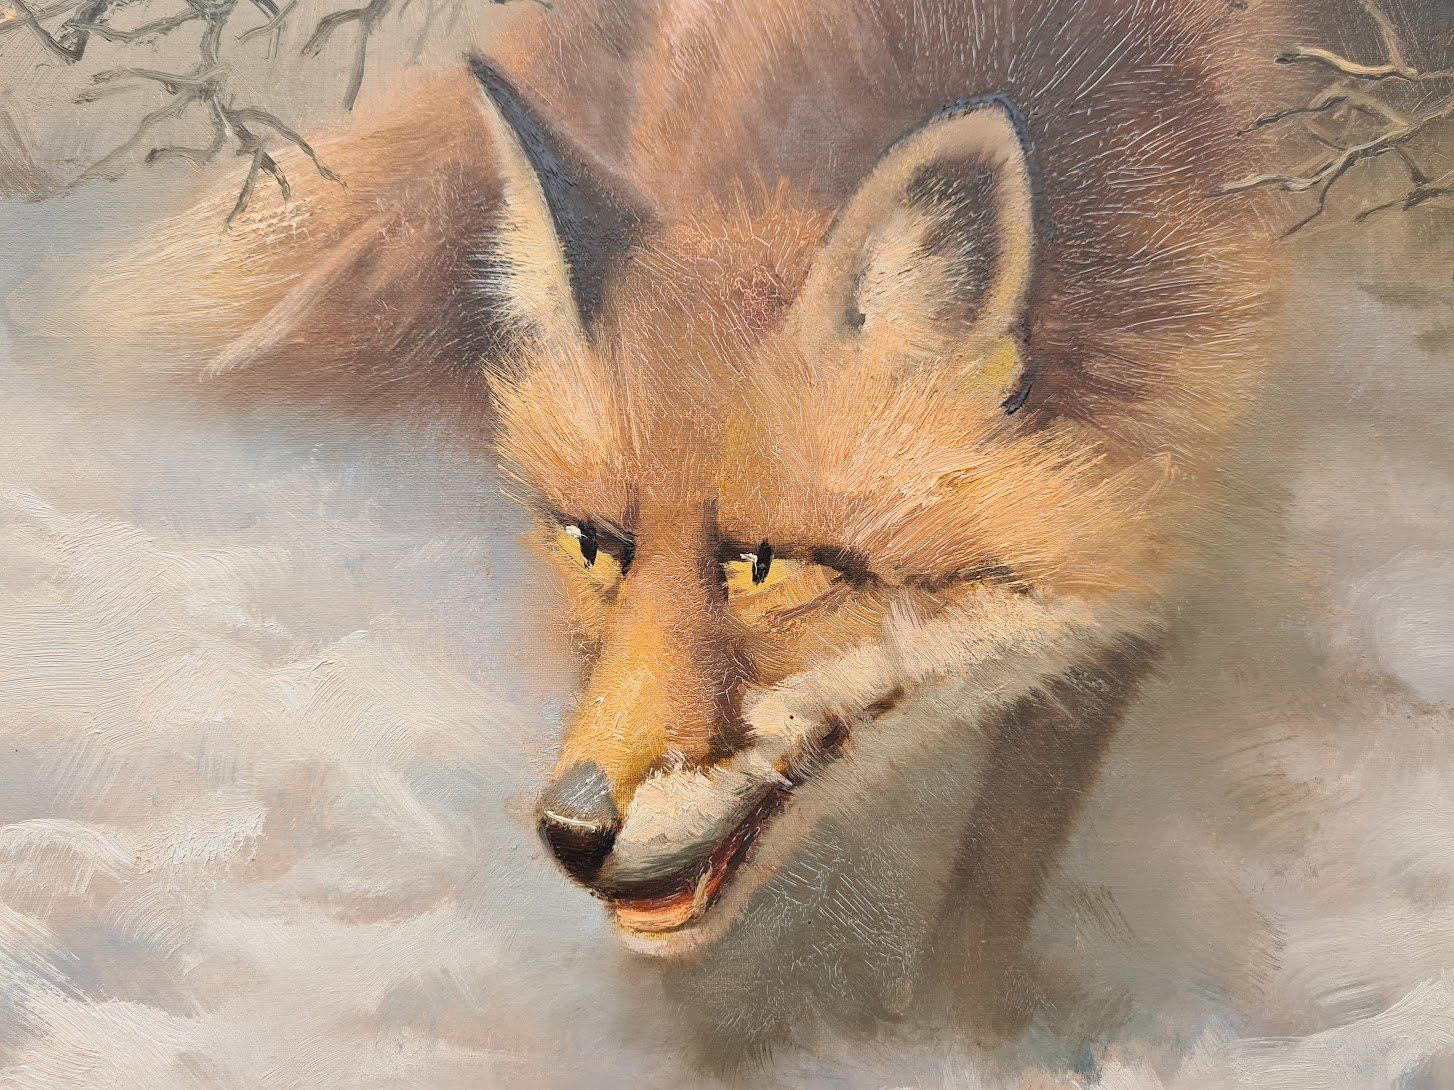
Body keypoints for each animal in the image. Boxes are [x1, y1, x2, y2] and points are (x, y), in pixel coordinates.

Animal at [73, 0, 1292, 1064]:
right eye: (595, 544)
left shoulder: (1149, 557)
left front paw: (962, 1032)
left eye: (761, 567)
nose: (570, 832)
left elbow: (1005, 860)